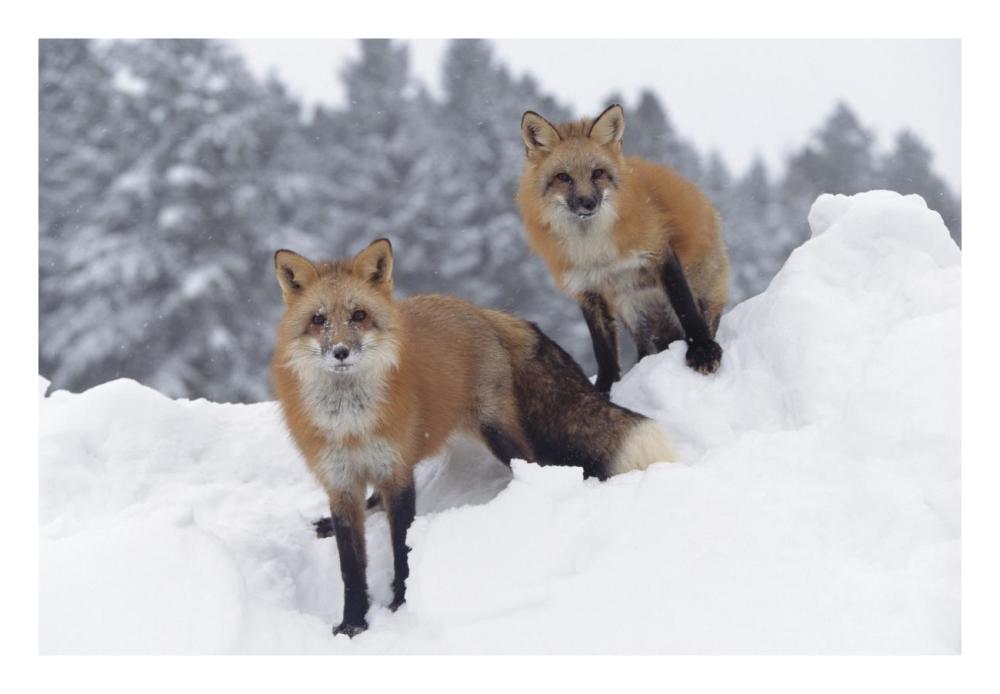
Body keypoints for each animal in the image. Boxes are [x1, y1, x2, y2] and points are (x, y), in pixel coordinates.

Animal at [271, 238, 675, 637]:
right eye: (318, 320)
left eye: (358, 316)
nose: (340, 351)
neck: (351, 425)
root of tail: (480, 310)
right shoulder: (340, 482)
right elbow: (351, 567)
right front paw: (352, 624)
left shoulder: (398, 474)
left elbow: (403, 547)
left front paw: (401, 603)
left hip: (496, 432)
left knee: (535, 466)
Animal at [517, 104, 731, 393]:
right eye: (563, 177)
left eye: (597, 173)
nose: (587, 203)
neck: (594, 250)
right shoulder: (586, 289)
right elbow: (603, 349)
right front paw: (604, 389)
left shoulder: (658, 252)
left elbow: (686, 307)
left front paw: (702, 350)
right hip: (635, 311)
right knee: (646, 348)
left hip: (699, 290)